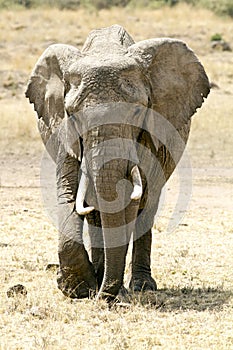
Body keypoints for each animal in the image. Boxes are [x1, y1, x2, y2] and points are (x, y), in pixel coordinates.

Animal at [25, 23, 209, 300]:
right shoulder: (63, 130)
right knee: (93, 211)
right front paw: (77, 289)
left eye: (137, 111)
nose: (104, 297)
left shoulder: (149, 131)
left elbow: (129, 198)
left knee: (147, 206)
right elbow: (68, 193)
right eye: (72, 114)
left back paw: (140, 285)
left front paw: (108, 291)